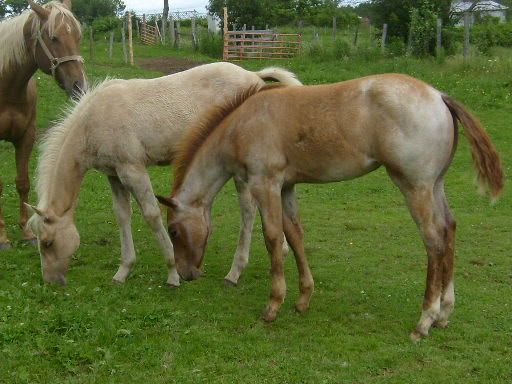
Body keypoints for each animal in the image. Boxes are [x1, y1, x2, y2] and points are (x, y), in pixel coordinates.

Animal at [0, 0, 86, 249]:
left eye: (78, 36)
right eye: (54, 38)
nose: (79, 85)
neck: (7, 85)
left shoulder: (26, 136)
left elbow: (23, 182)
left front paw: (27, 233)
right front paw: (2, 237)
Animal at [26, 62, 300, 284]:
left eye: (47, 243)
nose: (50, 280)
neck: (93, 122)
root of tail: (254, 76)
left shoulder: (133, 170)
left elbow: (151, 215)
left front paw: (172, 274)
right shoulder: (114, 175)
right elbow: (122, 216)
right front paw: (123, 271)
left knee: (248, 209)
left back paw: (236, 270)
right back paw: (282, 251)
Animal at [157, 73, 504, 340]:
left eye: (174, 230)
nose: (187, 274)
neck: (242, 124)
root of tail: (439, 96)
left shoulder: (265, 184)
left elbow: (272, 238)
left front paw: (273, 305)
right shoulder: (286, 187)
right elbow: (295, 235)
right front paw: (302, 300)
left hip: (414, 187)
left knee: (434, 241)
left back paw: (424, 321)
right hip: (436, 185)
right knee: (449, 229)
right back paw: (445, 313)